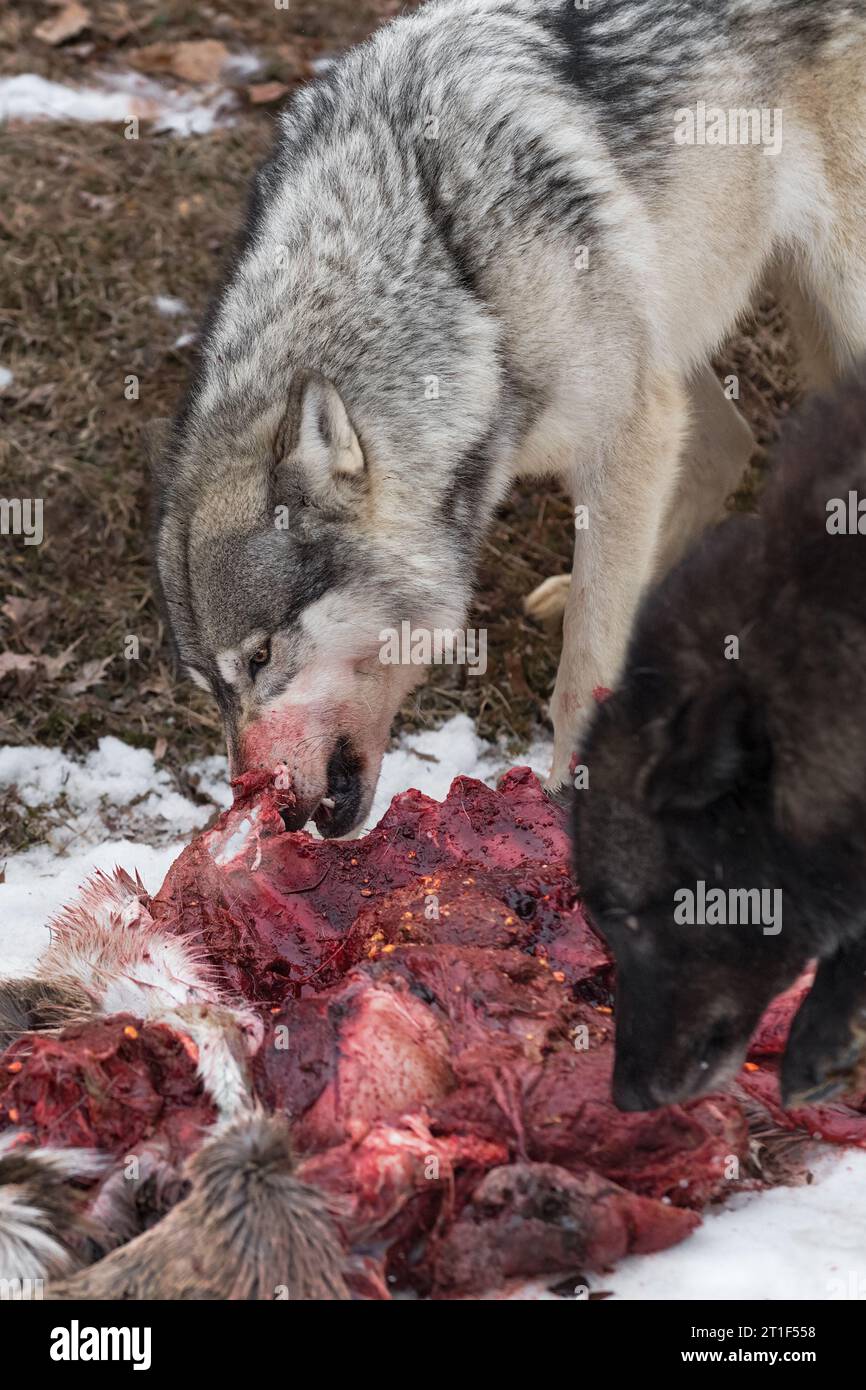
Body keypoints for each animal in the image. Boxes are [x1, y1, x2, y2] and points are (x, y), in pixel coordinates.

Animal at [150, 0, 866, 834]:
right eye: (210, 686)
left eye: (261, 658)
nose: (257, 803)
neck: (461, 283)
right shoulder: (634, 416)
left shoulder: (630, 428)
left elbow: (584, 672)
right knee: (728, 446)